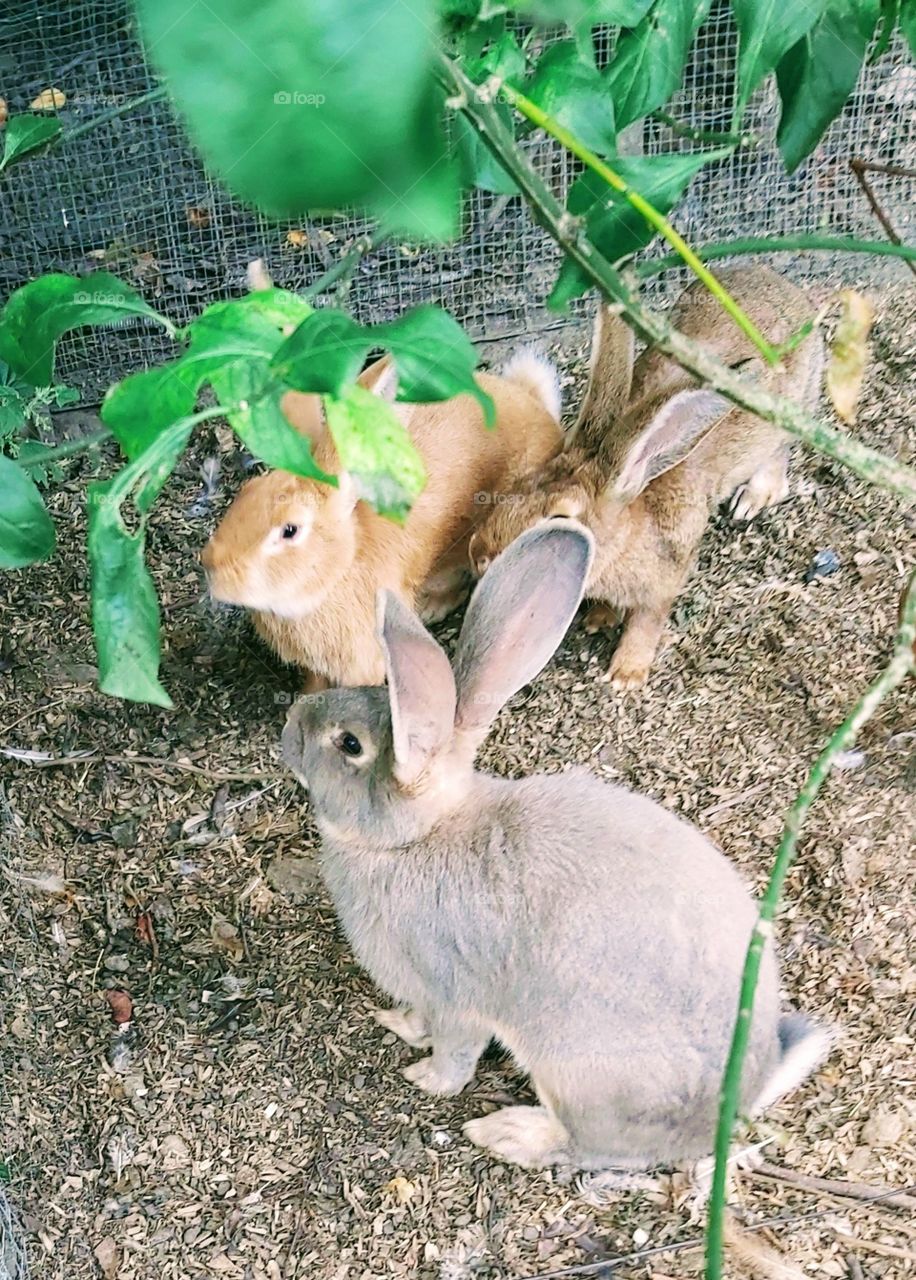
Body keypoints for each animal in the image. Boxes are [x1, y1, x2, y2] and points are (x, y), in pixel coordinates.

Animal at [280, 519, 830, 1172]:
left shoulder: (454, 996)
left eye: (348, 744)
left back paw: (508, 1133)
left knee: (585, 1145)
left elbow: (455, 1052)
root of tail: (727, 1113)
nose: (291, 722)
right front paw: (396, 1020)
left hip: (580, 1072)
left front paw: (425, 1075)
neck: (416, 837)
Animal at [468, 265, 825, 690]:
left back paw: (753, 498)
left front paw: (626, 675)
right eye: (518, 487)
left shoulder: (666, 581)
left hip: (788, 416)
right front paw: (598, 619)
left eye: (559, 518)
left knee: (778, 455)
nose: (476, 553)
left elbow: (646, 621)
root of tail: (780, 282)